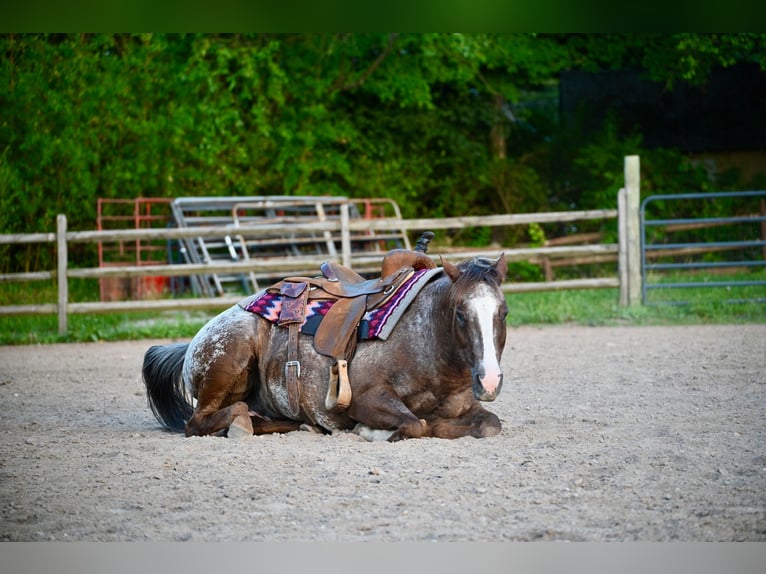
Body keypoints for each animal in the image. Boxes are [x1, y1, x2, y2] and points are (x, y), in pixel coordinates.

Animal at [142, 248, 509, 441]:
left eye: (503, 312)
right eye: (460, 313)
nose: (489, 380)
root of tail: (193, 343)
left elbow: (489, 424)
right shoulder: (367, 398)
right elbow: (415, 424)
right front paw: (372, 430)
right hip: (230, 358)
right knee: (200, 420)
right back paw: (242, 423)